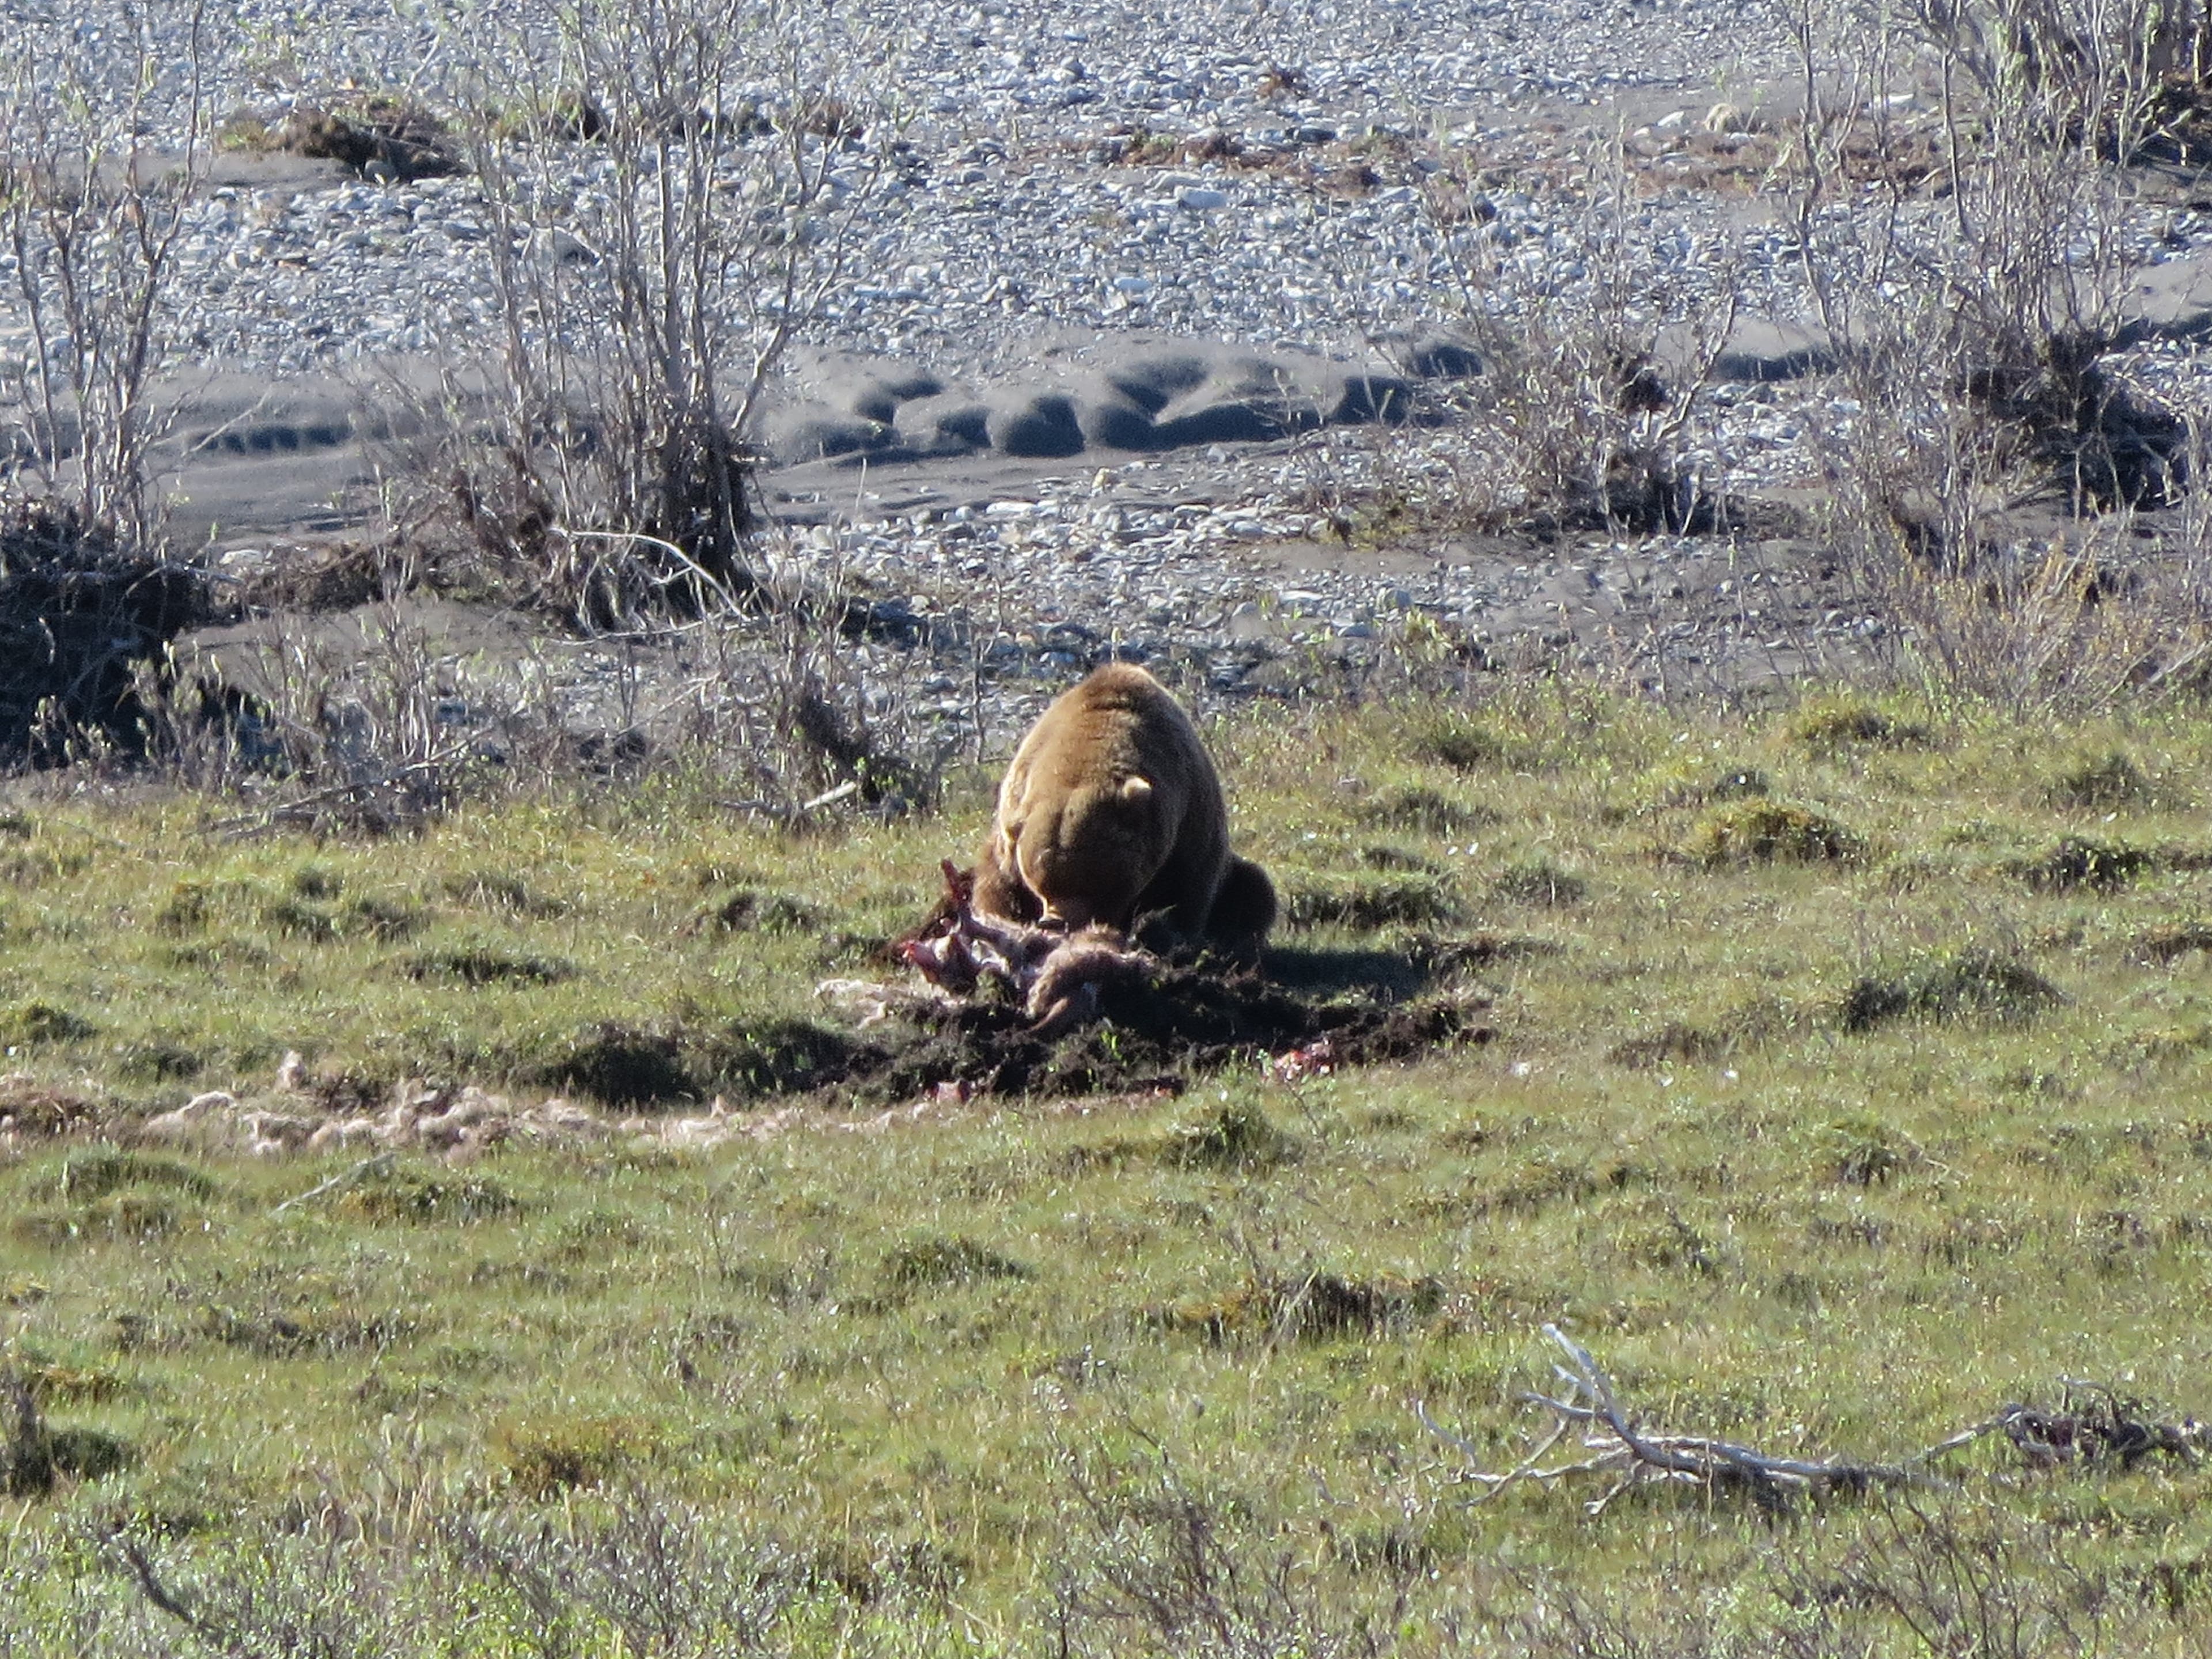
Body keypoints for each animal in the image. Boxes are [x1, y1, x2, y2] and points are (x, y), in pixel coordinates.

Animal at [971, 663, 1276, 959]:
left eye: (1090, 880)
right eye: (1039, 883)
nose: (1055, 921)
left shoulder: (1188, 810)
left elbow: (1193, 886)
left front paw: (1176, 937)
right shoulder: (1012, 822)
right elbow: (998, 888)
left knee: (1253, 890)